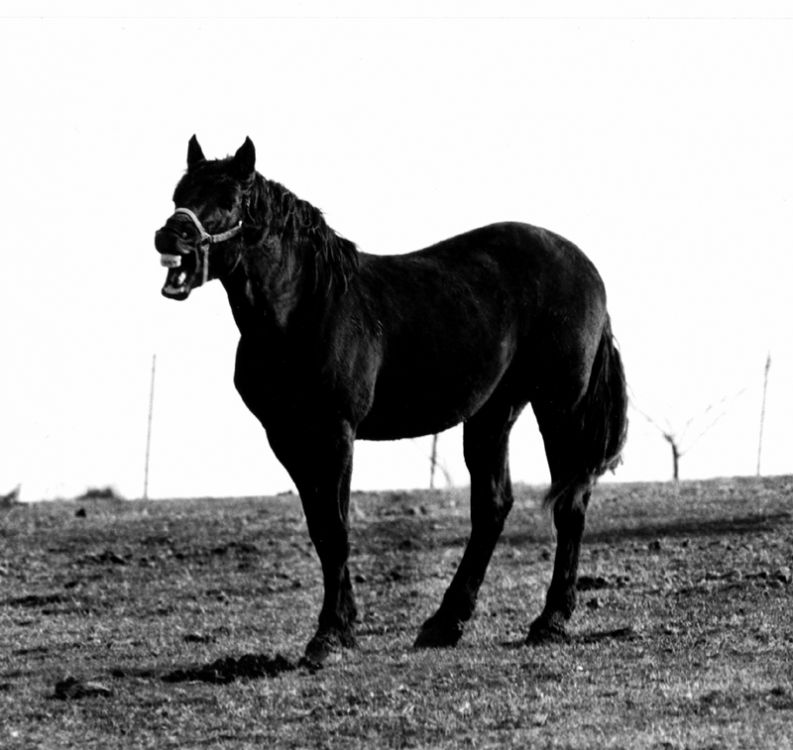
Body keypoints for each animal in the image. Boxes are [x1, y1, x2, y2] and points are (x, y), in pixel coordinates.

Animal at [154, 136, 628, 667]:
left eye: (229, 201)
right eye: (180, 193)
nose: (170, 237)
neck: (305, 309)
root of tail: (584, 266)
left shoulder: (335, 432)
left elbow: (336, 531)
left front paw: (331, 635)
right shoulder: (287, 438)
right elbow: (321, 529)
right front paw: (339, 627)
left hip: (560, 407)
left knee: (570, 504)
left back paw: (550, 621)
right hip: (492, 412)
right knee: (492, 506)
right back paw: (445, 623)